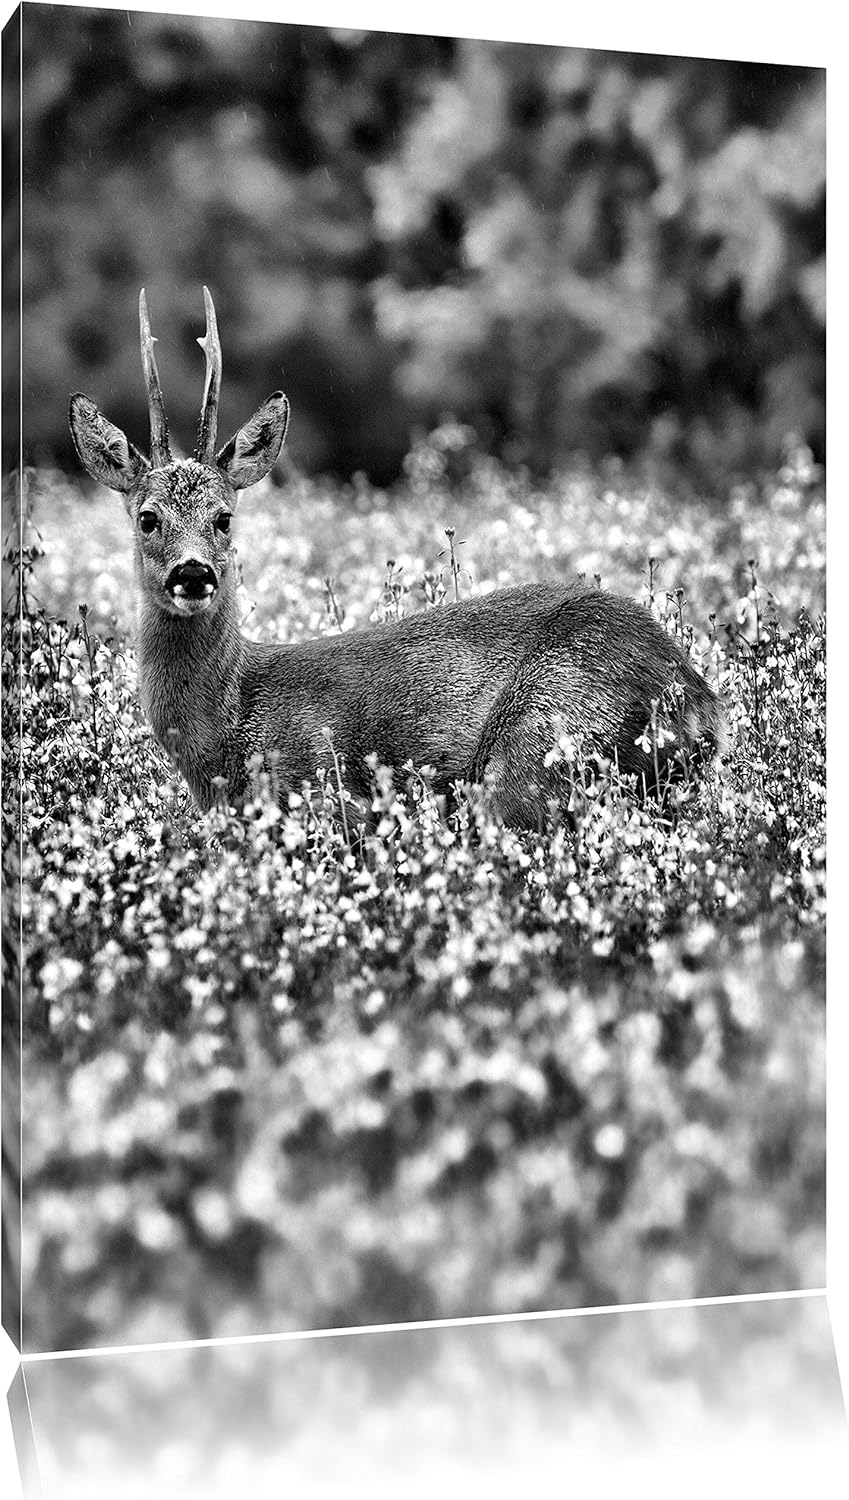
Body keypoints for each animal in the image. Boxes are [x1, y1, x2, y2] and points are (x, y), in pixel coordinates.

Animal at [69, 287, 724, 828]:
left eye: (224, 518)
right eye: (147, 517)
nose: (193, 572)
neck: (227, 728)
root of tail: (698, 698)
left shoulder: (325, 791)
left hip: (538, 747)